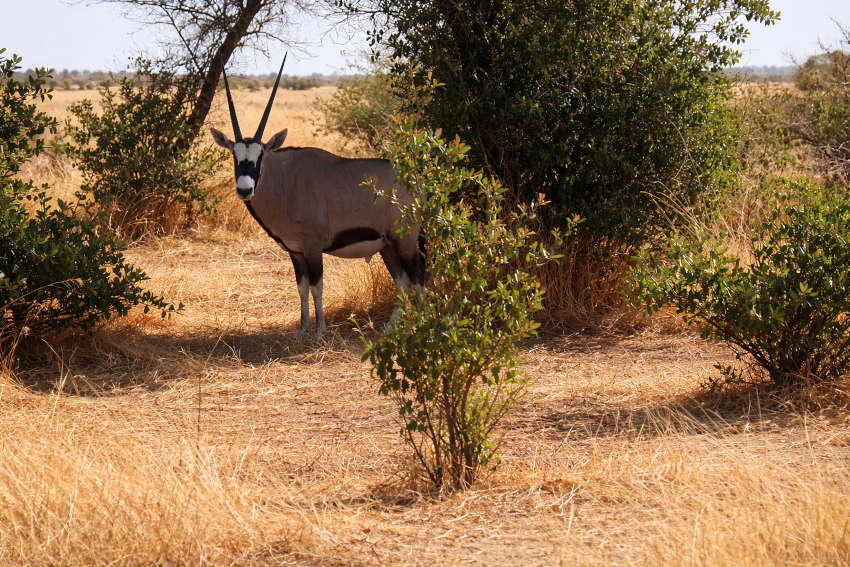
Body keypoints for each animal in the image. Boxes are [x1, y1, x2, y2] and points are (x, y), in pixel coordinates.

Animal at [210, 57, 425, 339]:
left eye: (260, 156)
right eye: (234, 156)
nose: (245, 190)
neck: (285, 180)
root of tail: (416, 179)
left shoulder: (313, 248)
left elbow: (317, 287)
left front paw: (320, 330)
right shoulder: (295, 251)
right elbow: (301, 288)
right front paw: (302, 329)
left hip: (406, 241)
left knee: (419, 279)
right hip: (387, 245)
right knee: (403, 281)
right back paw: (390, 329)